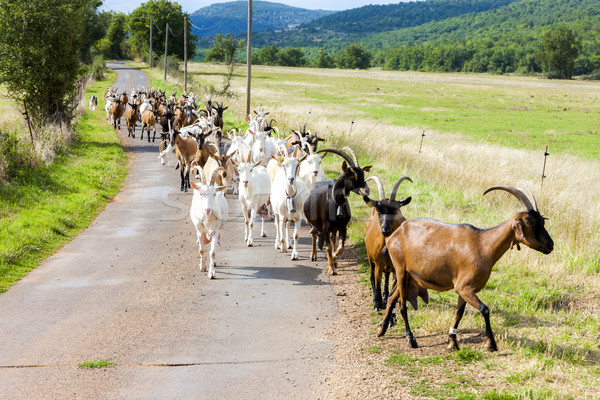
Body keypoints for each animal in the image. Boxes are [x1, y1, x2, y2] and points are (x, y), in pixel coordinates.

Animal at [378, 186, 556, 352]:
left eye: (542, 221)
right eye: (530, 222)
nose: (550, 245)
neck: (484, 245)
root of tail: (395, 234)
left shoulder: (464, 289)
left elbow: (459, 313)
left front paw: (452, 342)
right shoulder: (465, 287)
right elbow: (485, 309)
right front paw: (491, 344)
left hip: (409, 274)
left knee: (392, 298)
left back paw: (382, 329)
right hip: (400, 268)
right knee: (402, 304)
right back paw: (411, 339)